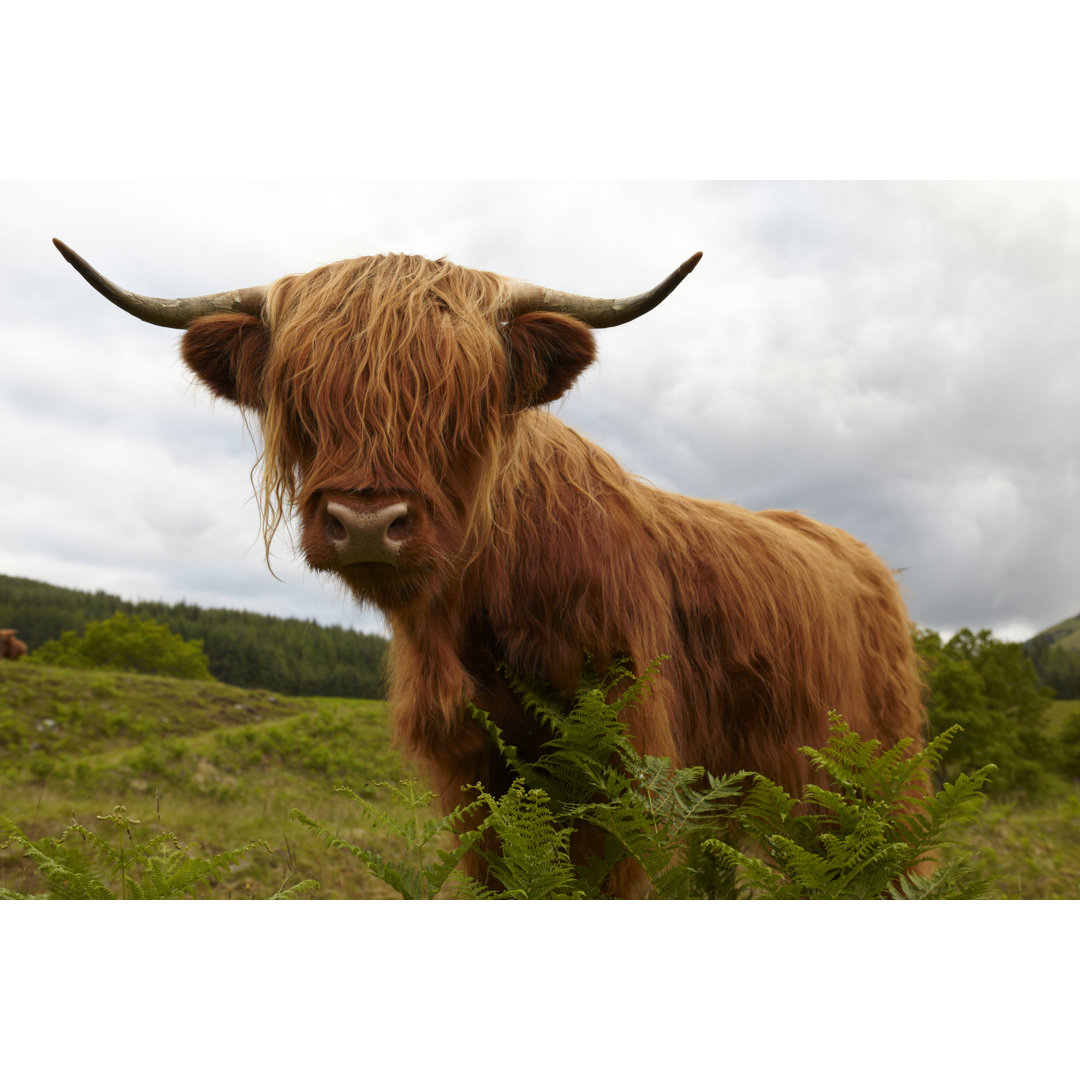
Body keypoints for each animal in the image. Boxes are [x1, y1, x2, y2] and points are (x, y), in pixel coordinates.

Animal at [52, 240, 928, 898]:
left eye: (460, 405)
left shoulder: (625, 767)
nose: (366, 523)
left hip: (874, 776)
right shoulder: (473, 777)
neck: (483, 612)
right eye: (303, 401)